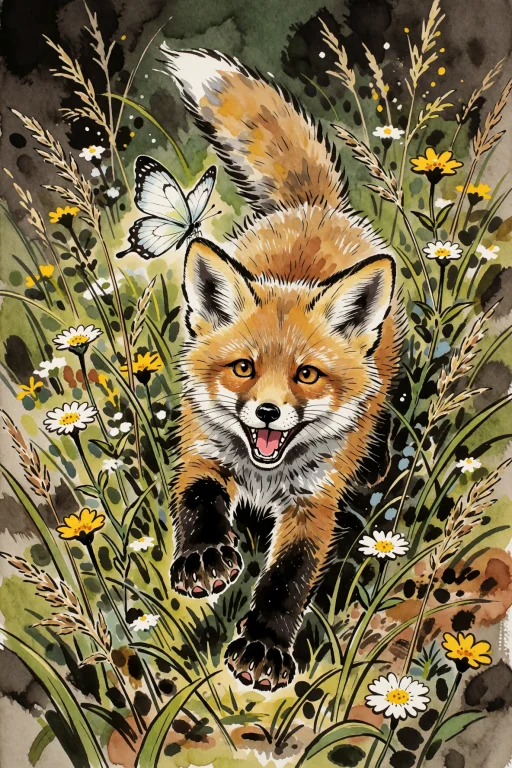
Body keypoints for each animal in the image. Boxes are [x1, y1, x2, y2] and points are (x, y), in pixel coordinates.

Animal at [160, 46, 404, 692]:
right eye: (243, 368)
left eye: (307, 375)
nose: (268, 411)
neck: (264, 476)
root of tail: (312, 209)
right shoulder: (202, 450)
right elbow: (198, 502)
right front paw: (204, 558)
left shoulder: (313, 501)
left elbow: (287, 578)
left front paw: (264, 646)